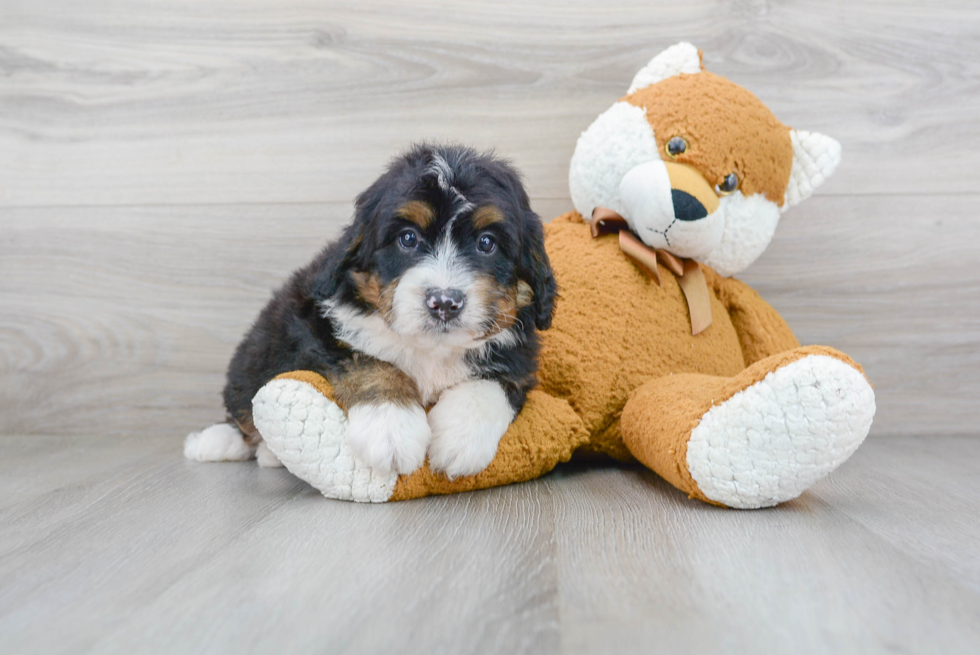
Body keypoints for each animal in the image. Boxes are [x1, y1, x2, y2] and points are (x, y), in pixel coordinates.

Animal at [182, 145, 552, 476]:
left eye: (487, 243)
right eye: (408, 239)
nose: (444, 302)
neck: (430, 349)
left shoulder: (519, 354)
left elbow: (492, 383)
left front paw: (460, 440)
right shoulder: (316, 327)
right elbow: (373, 363)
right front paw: (391, 429)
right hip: (257, 351)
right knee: (243, 406)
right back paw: (215, 442)